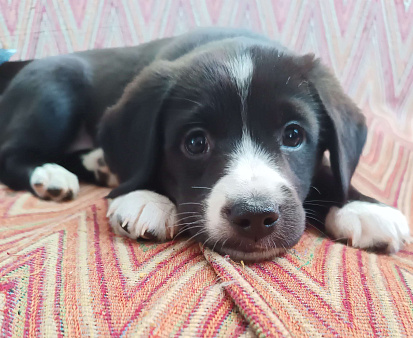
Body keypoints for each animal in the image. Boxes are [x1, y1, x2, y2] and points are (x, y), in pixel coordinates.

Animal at [0, 28, 408, 262]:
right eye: (196, 142)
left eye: (294, 136)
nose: (255, 216)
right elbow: (141, 167)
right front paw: (144, 196)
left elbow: (330, 169)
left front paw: (362, 206)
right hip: (54, 93)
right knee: (11, 153)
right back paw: (52, 175)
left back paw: (97, 164)